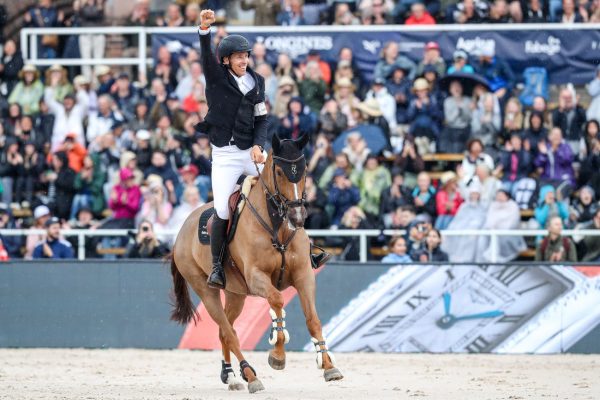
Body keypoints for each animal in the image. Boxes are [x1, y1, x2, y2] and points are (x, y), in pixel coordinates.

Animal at [171, 135, 344, 394]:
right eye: (280, 172)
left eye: (304, 171)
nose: (297, 218)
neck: (278, 227)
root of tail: (182, 229)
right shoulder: (257, 277)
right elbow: (277, 301)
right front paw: (278, 355)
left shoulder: (304, 275)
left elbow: (313, 320)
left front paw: (328, 366)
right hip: (206, 291)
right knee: (229, 332)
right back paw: (250, 375)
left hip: (236, 294)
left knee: (225, 331)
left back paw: (231, 376)